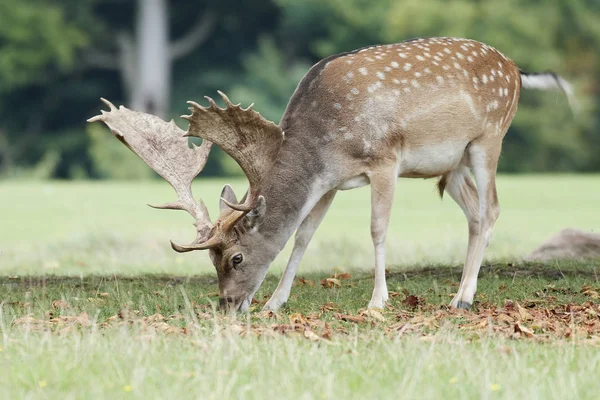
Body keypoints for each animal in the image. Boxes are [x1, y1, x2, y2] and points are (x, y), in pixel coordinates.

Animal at [88, 37, 572, 312]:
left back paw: (464, 297)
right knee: (474, 213)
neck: (324, 140)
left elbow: (377, 228)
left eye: (236, 257)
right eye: (211, 259)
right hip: (449, 166)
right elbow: (303, 235)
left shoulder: (384, 159)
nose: (227, 304)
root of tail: (517, 69)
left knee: (492, 210)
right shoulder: (329, 183)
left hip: (488, 137)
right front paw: (275, 302)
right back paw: (460, 294)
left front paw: (377, 303)